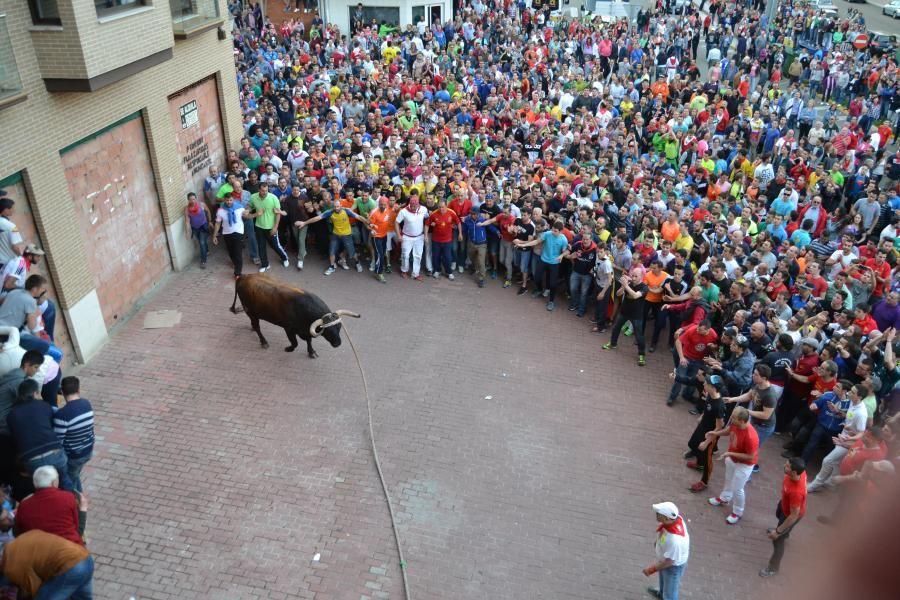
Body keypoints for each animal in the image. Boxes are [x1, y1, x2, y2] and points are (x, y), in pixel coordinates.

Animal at [229, 274, 358, 358]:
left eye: (339, 328)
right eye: (326, 330)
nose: (338, 343)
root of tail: (243, 277)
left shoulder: (305, 330)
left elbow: (309, 340)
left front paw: (312, 352)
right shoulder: (289, 329)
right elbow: (295, 343)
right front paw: (288, 349)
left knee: (254, 324)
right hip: (250, 310)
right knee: (257, 327)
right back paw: (264, 342)